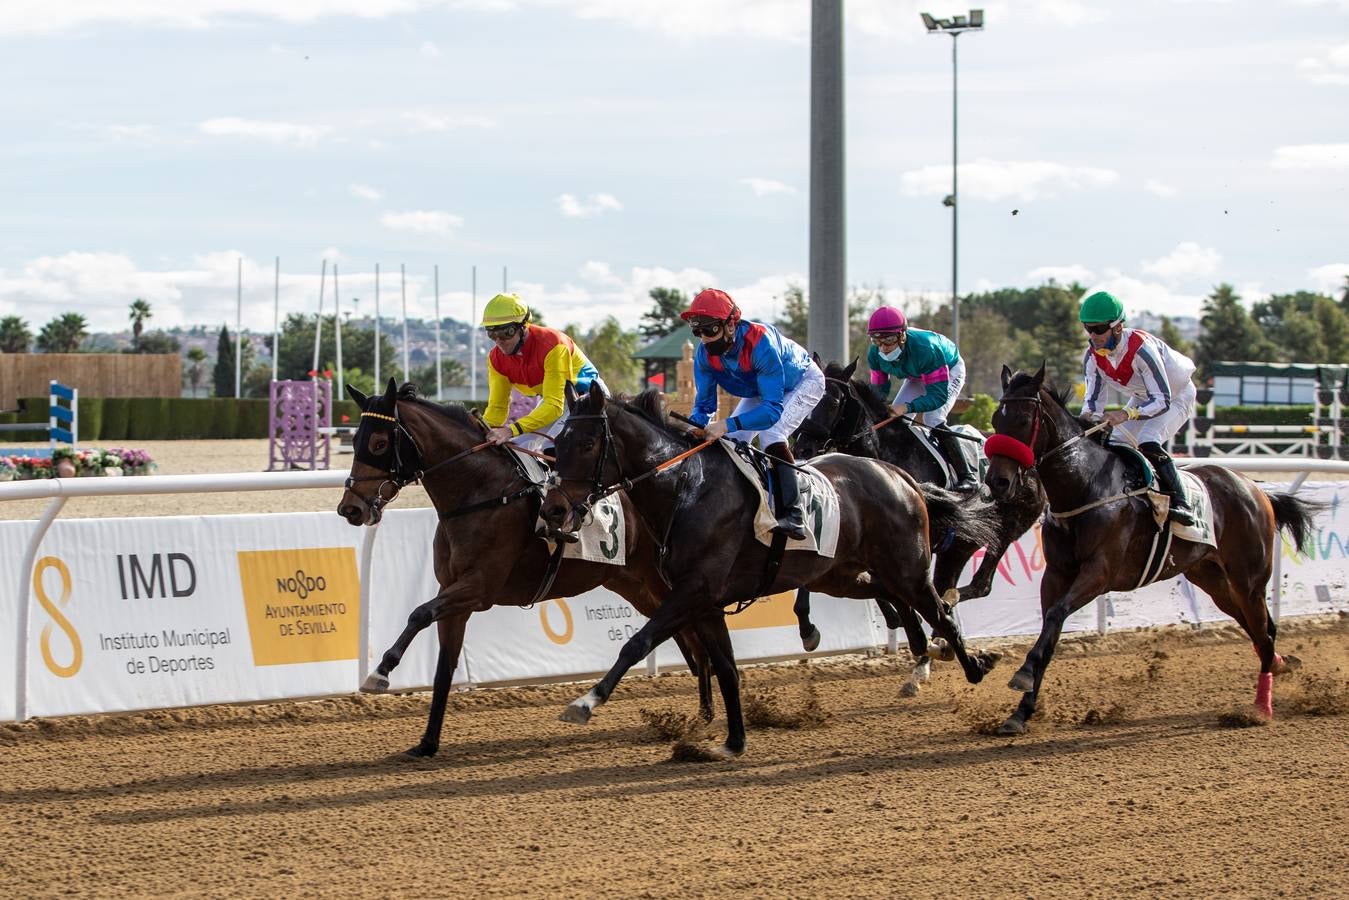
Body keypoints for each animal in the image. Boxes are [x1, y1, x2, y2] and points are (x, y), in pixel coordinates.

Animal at [337, 377, 717, 755]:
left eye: (379, 443)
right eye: (354, 442)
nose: (350, 509)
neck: (479, 494)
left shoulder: (479, 588)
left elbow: (418, 613)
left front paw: (380, 672)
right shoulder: (453, 593)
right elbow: (444, 664)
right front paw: (427, 742)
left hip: (664, 582)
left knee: (697, 639)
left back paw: (704, 720)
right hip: (634, 584)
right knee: (688, 637)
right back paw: (701, 719)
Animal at [539, 388, 1003, 761]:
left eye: (586, 443)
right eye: (556, 443)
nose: (553, 510)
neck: (686, 488)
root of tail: (898, 475)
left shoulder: (693, 591)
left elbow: (637, 643)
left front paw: (585, 702)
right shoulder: (704, 603)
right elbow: (726, 668)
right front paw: (733, 742)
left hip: (906, 567)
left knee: (939, 609)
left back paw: (973, 665)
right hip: (841, 576)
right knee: (900, 598)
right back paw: (932, 651)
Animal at [982, 361, 1316, 734]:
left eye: (1024, 421)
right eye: (996, 419)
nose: (997, 481)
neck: (1086, 487)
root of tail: (1256, 489)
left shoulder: (1099, 573)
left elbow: (1055, 616)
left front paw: (1023, 674)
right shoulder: (1055, 575)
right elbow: (1049, 631)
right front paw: (1019, 714)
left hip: (1249, 578)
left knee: (1264, 630)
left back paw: (1261, 708)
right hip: (1211, 578)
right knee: (1256, 628)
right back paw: (1282, 666)